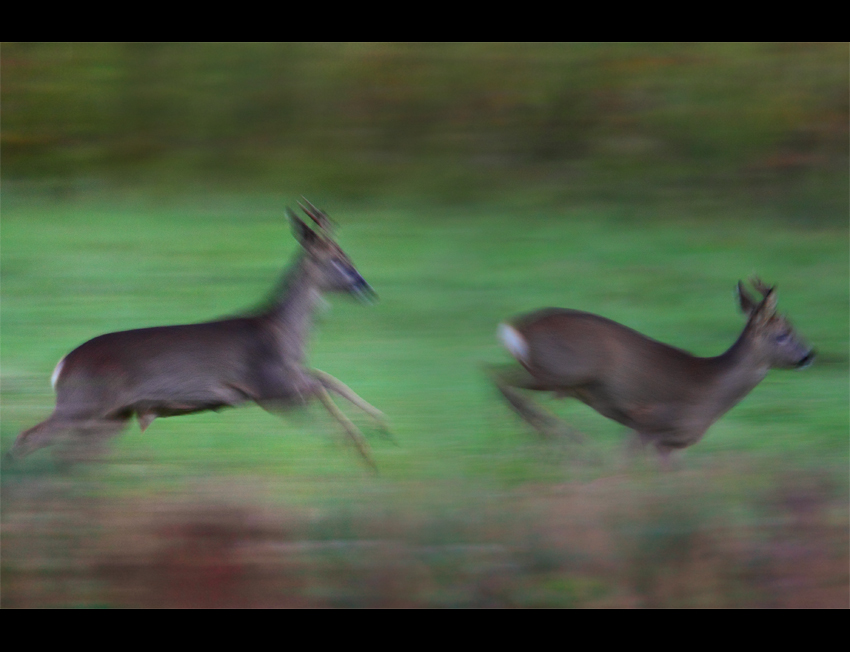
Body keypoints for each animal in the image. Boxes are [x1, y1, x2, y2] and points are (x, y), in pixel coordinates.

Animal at [5, 199, 384, 468]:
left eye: (346, 255)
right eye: (336, 259)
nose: (366, 288)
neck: (284, 334)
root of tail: (62, 366)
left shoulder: (284, 376)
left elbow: (325, 378)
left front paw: (380, 427)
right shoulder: (267, 384)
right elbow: (320, 385)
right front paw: (365, 449)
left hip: (110, 417)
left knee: (73, 452)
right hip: (83, 404)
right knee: (28, 438)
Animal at [494, 280, 812, 464]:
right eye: (784, 334)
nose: (808, 355)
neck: (711, 392)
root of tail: (518, 328)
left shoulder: (669, 443)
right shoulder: (648, 419)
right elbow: (623, 462)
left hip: (553, 374)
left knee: (498, 376)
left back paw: (555, 437)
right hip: (560, 371)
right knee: (499, 376)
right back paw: (566, 438)